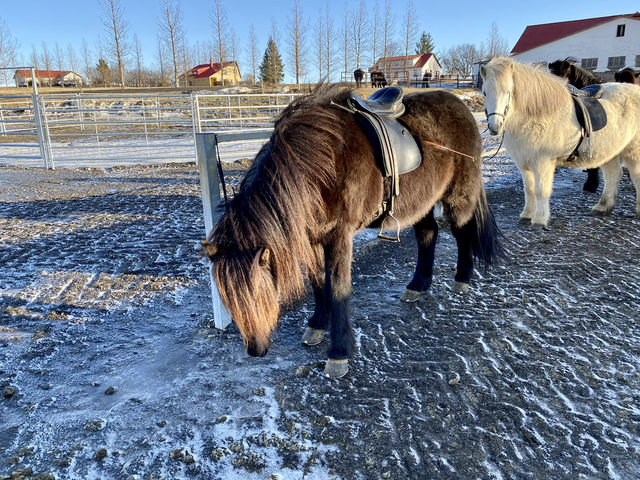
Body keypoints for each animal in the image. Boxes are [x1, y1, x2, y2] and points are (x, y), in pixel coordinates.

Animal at [200, 86, 500, 378]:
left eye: (260, 293)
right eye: (225, 295)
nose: (256, 350)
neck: (320, 166)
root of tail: (462, 107)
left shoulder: (340, 237)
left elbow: (338, 287)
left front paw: (339, 352)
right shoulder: (314, 238)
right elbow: (318, 282)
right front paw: (317, 325)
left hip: (458, 195)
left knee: (462, 232)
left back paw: (462, 279)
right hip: (423, 201)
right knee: (428, 234)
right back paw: (417, 285)